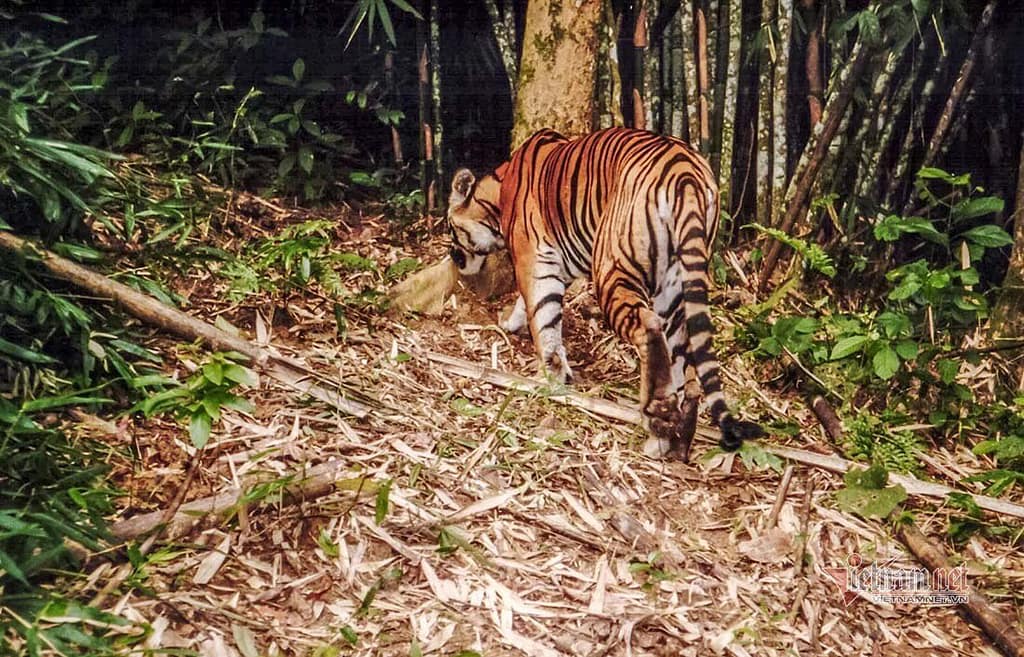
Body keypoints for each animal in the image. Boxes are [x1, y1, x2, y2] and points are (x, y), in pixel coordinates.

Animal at [447, 127, 763, 460]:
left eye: (451, 228)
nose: (454, 258)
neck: (498, 191)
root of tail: (686, 173)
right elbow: (532, 306)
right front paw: (513, 324)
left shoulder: (532, 257)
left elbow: (543, 317)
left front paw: (551, 375)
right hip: (676, 285)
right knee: (685, 361)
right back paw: (673, 441)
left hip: (613, 266)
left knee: (648, 329)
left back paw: (657, 417)